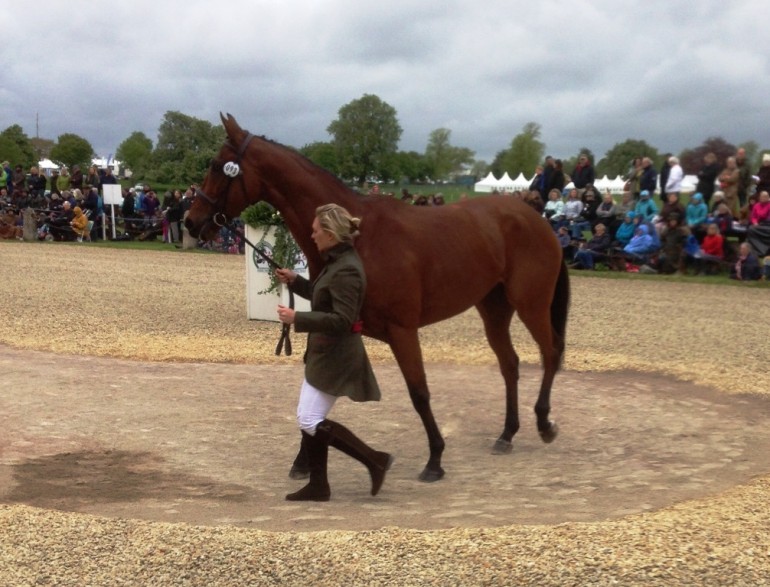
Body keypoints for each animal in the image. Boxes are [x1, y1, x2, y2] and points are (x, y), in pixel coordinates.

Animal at [186, 113, 568, 482]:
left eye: (217, 165)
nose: (191, 221)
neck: (360, 237)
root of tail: (537, 219)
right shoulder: (330, 324)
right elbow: (315, 388)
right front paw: (302, 462)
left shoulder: (402, 331)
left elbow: (419, 393)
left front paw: (435, 460)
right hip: (493, 308)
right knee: (510, 364)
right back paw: (507, 434)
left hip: (531, 305)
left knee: (549, 353)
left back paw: (544, 424)